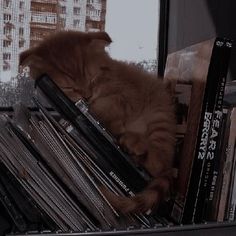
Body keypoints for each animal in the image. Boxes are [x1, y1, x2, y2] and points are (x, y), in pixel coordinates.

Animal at [19, 30, 176, 214]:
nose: (87, 96)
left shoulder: (128, 94)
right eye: (69, 88)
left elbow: (109, 106)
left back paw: (134, 142)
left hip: (159, 117)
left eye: (92, 80)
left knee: (159, 162)